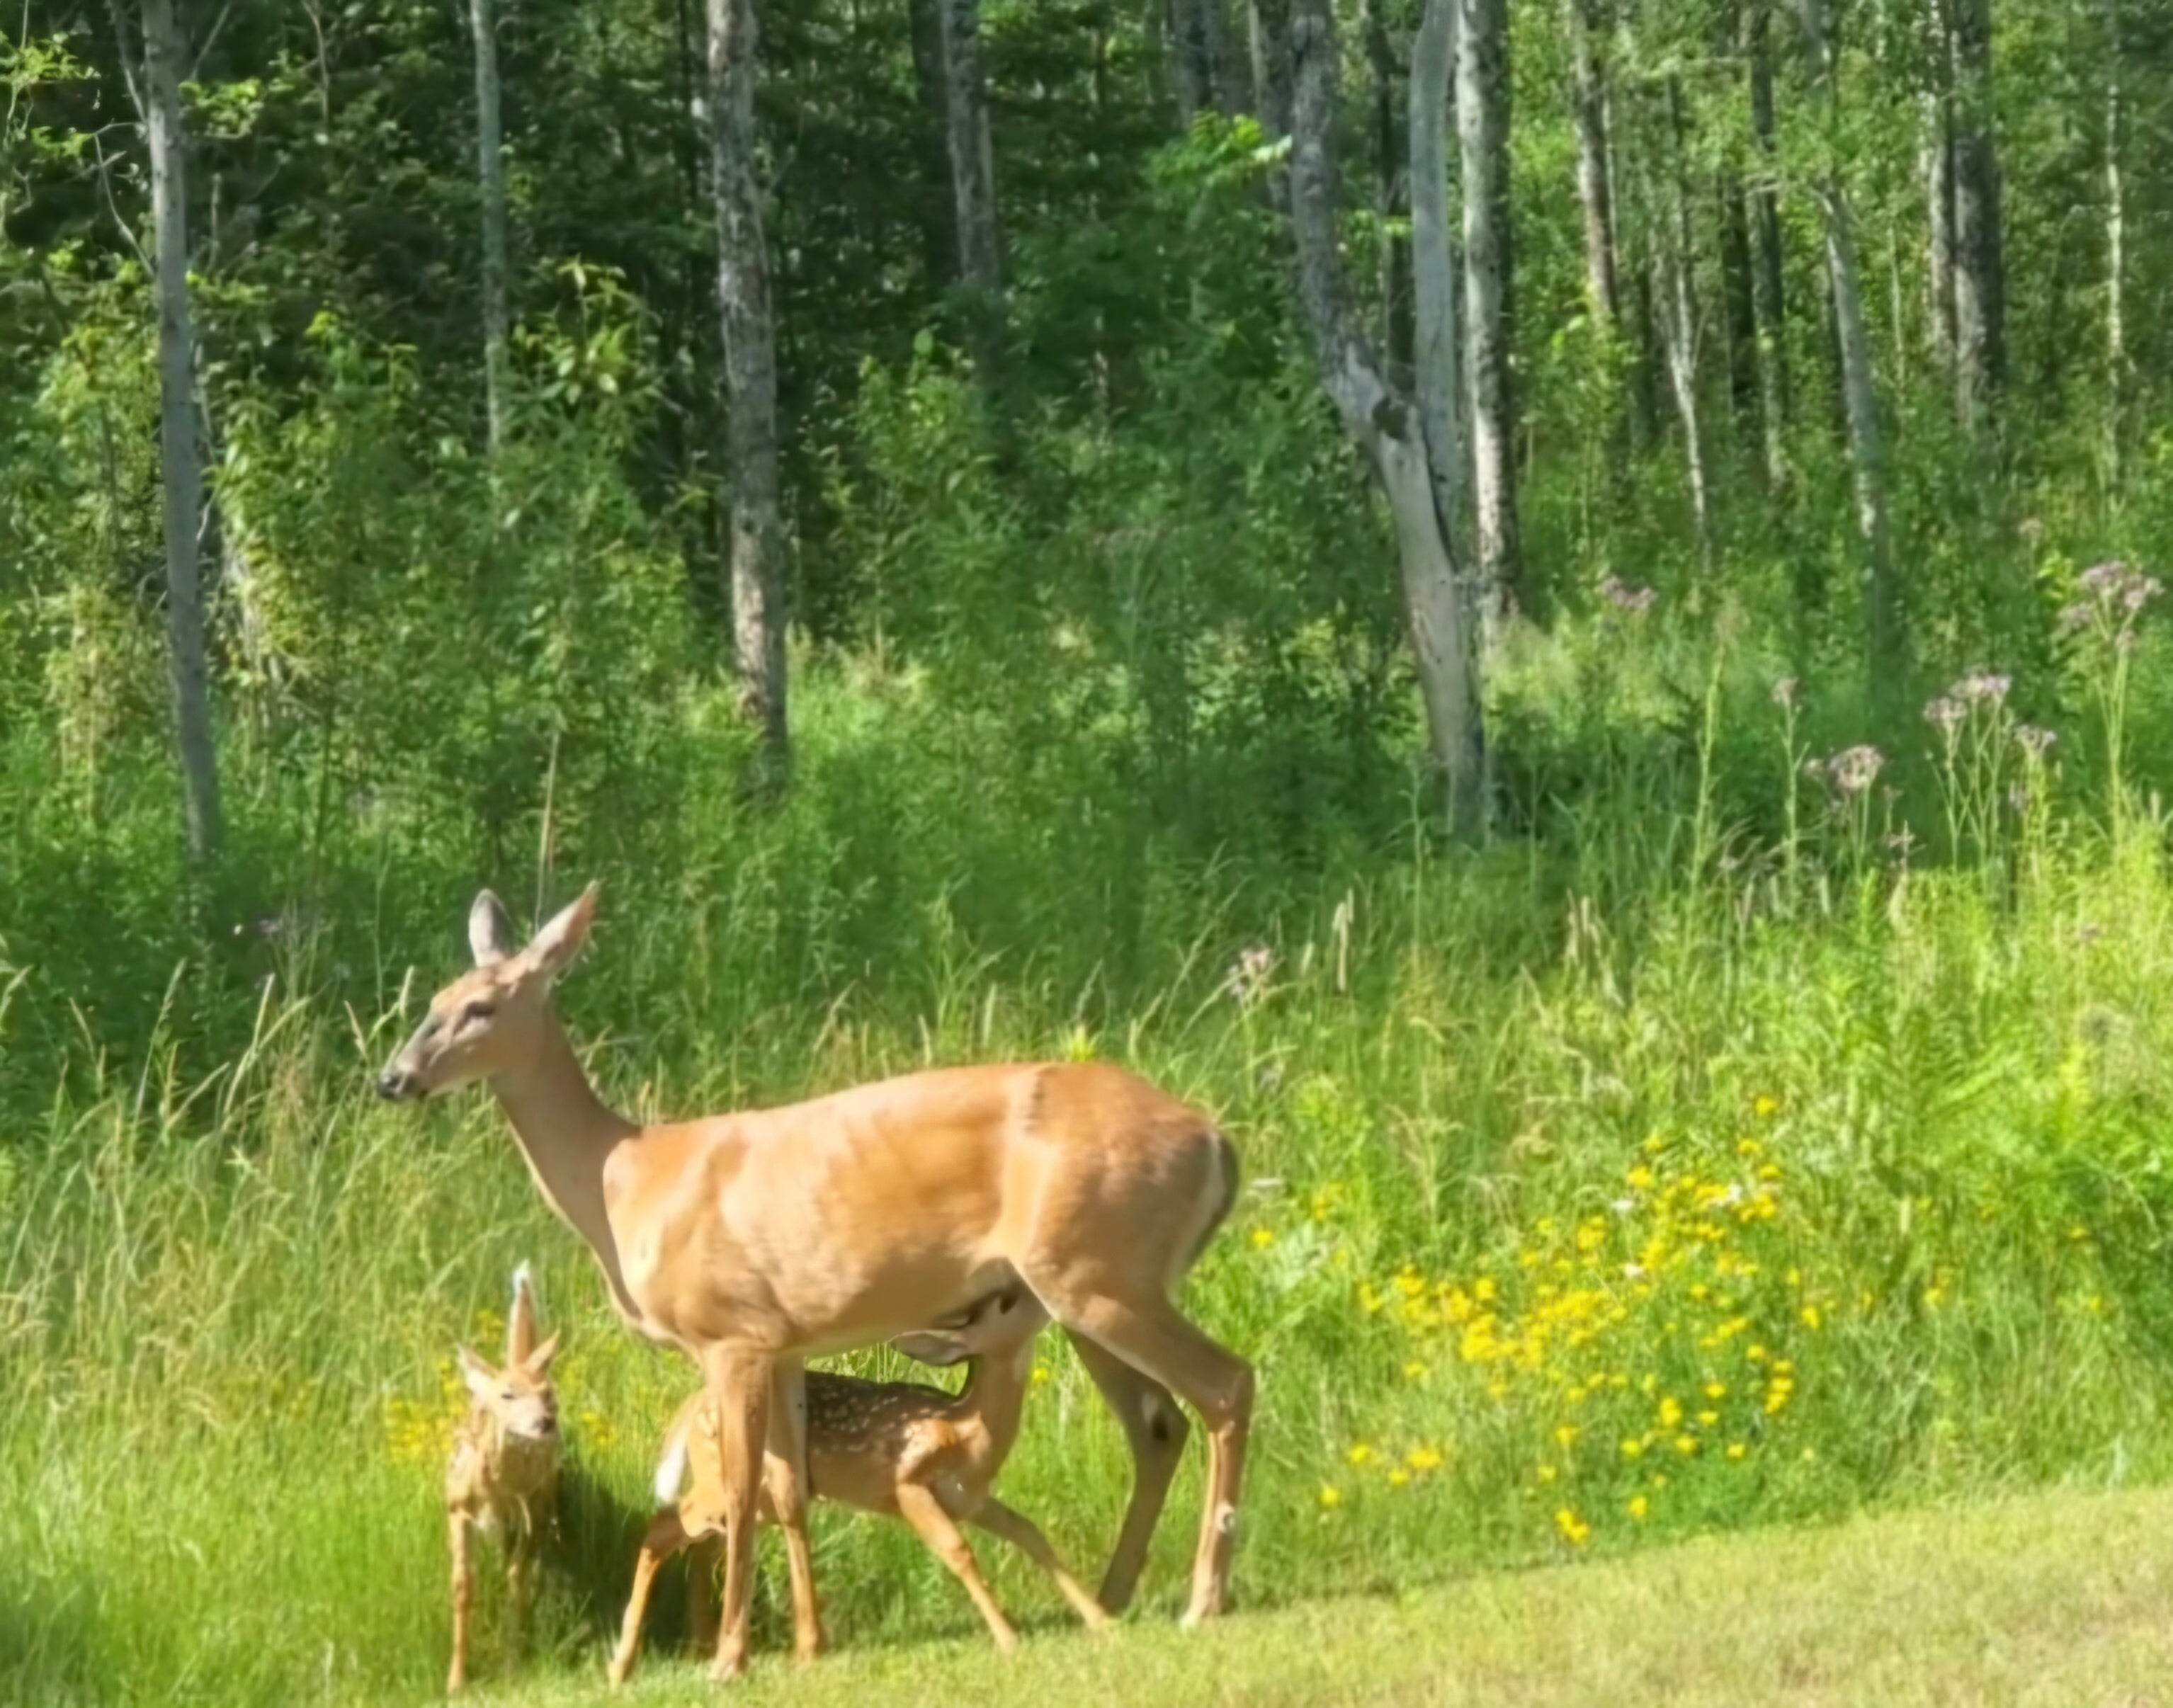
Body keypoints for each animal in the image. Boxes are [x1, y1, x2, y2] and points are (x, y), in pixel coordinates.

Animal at [444, 1261, 563, 1694]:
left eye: (547, 1394)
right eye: (507, 1396)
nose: (545, 1422)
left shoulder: (531, 1512)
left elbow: (517, 1579)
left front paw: (514, 1663)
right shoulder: (457, 1510)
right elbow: (463, 1586)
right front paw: (456, 1679)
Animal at [608, 1283, 1107, 1686]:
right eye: (1006, 1303)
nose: (1045, 1291)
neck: (968, 1432)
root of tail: (692, 1405)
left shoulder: (971, 1499)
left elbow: (1031, 1534)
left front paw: (1101, 1619)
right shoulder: (907, 1485)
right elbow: (958, 1550)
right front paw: (1009, 1639)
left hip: (753, 1497)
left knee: (704, 1545)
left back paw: (698, 1647)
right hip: (720, 1482)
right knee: (663, 1526)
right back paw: (625, 1666)